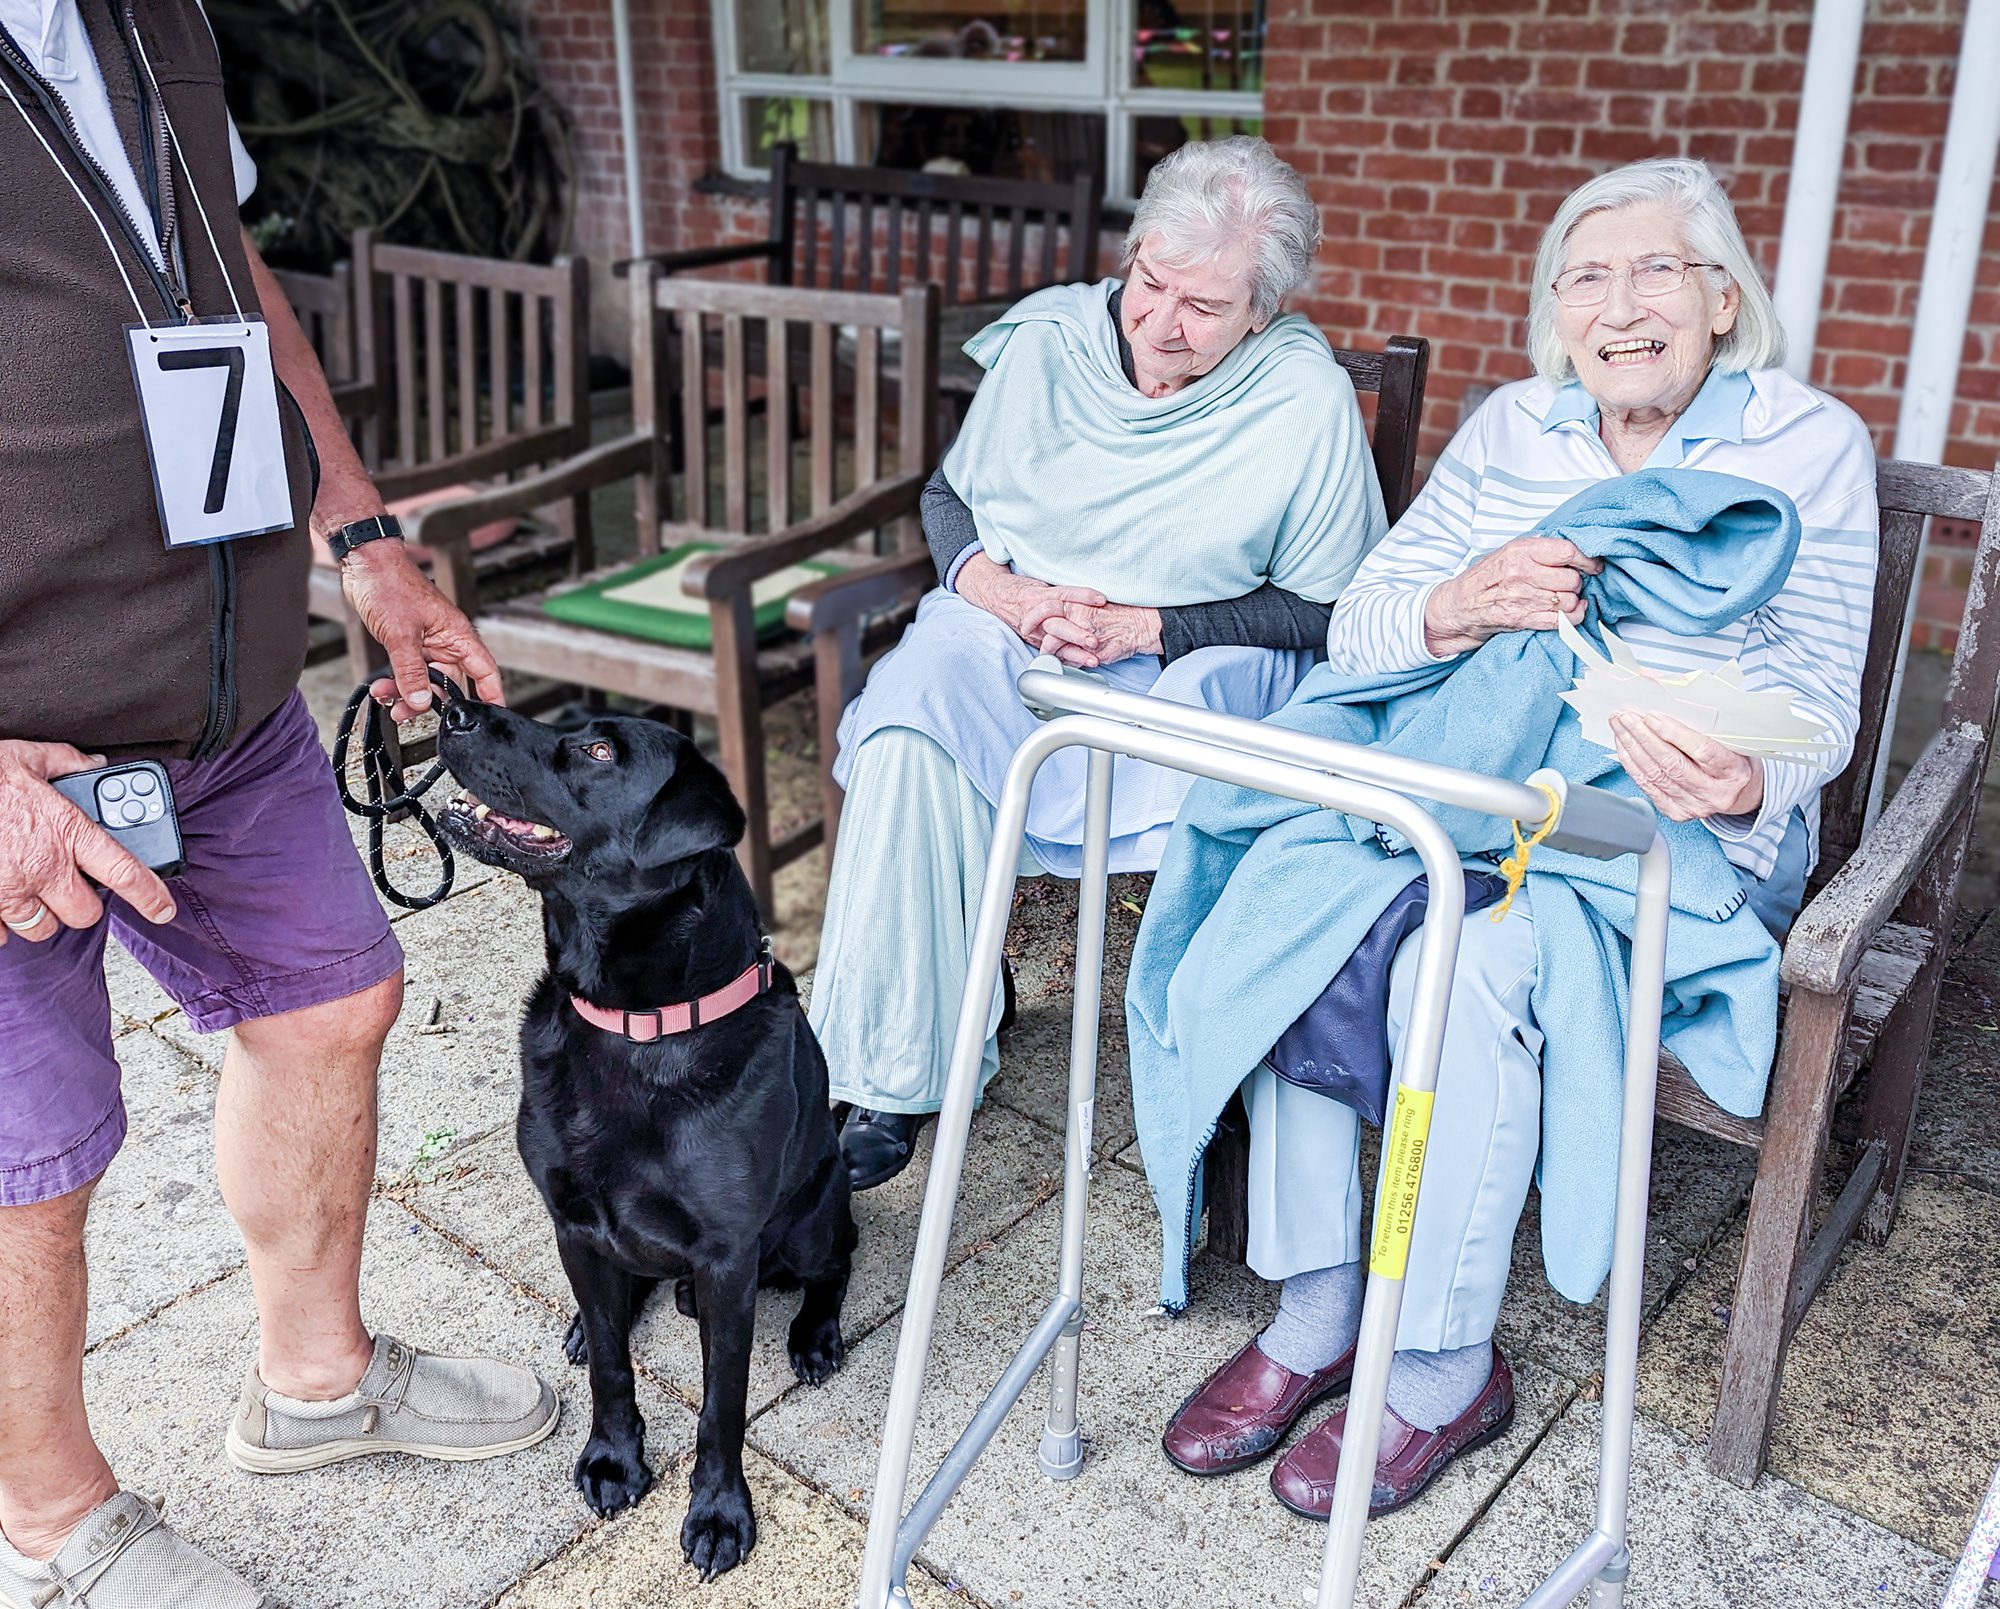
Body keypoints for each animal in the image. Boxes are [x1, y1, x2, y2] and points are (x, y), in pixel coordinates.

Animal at [436, 692, 852, 1568]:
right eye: (560, 717)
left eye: (598, 752)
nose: (452, 705)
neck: (635, 1030)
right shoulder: (573, 1220)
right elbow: (612, 1368)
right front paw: (613, 1457)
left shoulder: (727, 1256)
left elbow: (722, 1403)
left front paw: (719, 1510)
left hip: (812, 1216)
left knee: (836, 1261)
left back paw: (815, 1334)